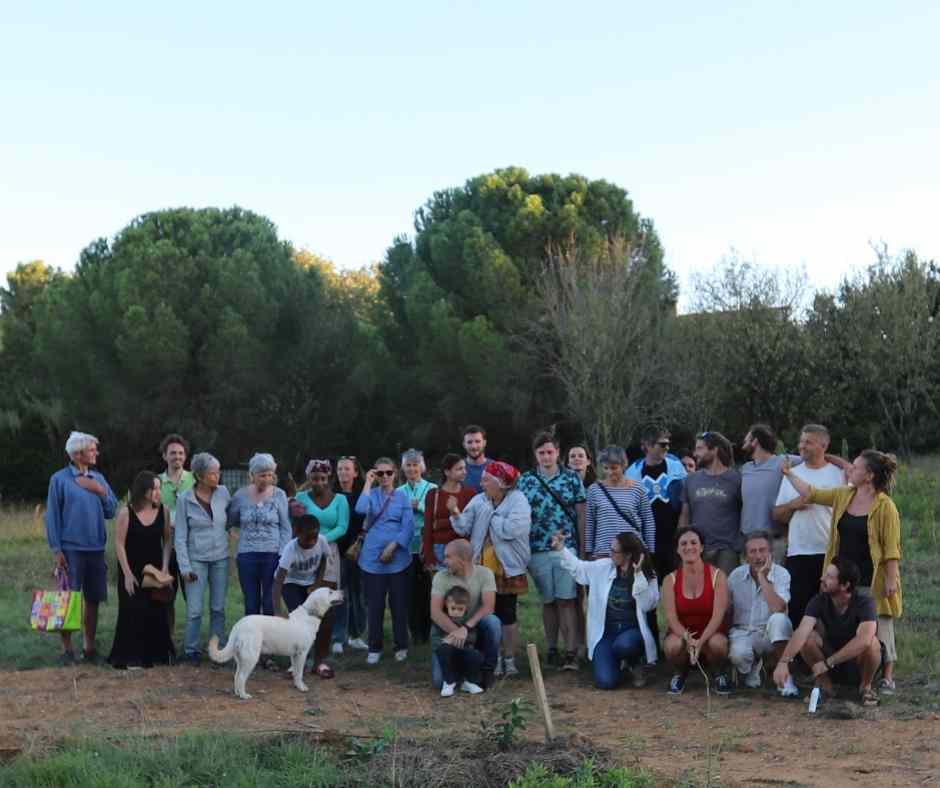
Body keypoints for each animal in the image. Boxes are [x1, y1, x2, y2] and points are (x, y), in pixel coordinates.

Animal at [207, 584, 344, 700]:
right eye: (330, 592)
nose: (343, 591)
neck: (309, 614)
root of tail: (238, 625)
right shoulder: (302, 653)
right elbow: (299, 673)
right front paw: (302, 687)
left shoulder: (294, 655)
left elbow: (295, 672)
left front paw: (296, 685)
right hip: (251, 657)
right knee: (241, 677)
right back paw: (244, 695)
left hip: (241, 658)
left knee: (236, 676)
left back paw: (237, 693)